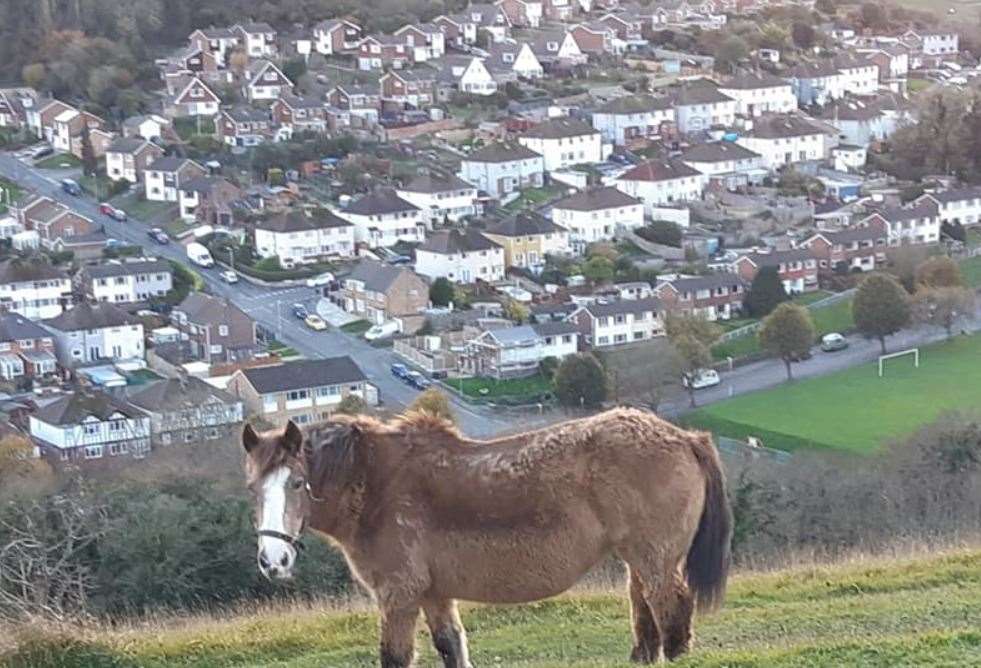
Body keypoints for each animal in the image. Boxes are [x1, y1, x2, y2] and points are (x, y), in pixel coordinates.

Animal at [241, 408, 732, 668]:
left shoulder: (398, 597)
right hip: (639, 558)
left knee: (670, 608)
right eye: (252, 488)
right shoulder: (433, 595)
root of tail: (683, 436)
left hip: (655, 559)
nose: (273, 561)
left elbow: (396, 656)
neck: (378, 485)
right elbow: (451, 647)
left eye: (297, 484)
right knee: (645, 608)